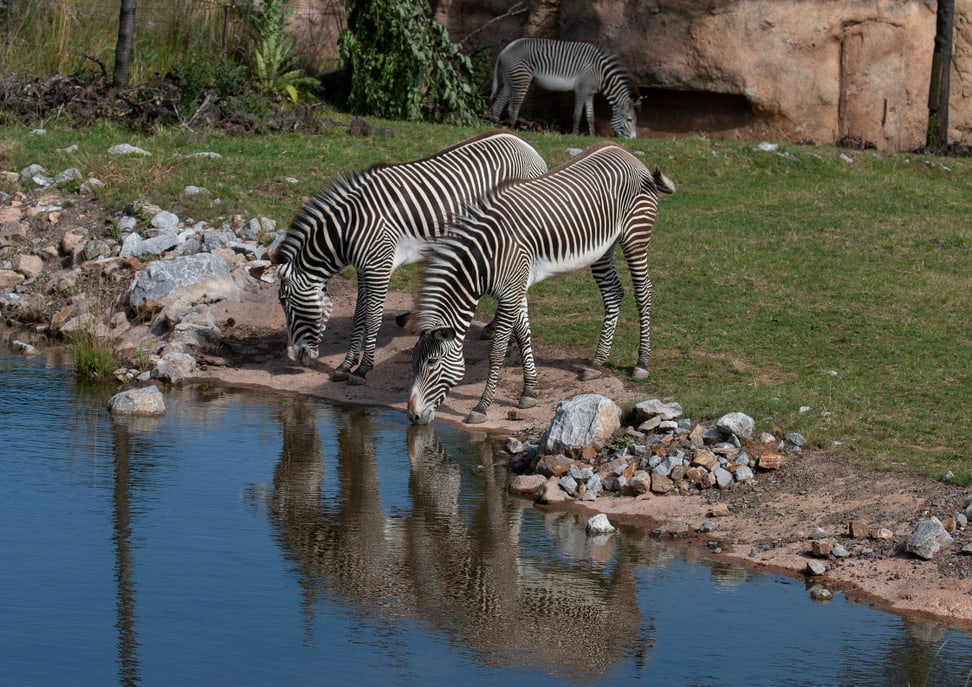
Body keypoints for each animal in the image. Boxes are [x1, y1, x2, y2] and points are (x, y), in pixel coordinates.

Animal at [262, 132, 548, 384]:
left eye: (285, 302)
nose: (294, 357)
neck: (349, 227)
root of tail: (527, 145)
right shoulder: (364, 269)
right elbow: (359, 316)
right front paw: (345, 365)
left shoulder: (379, 266)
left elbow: (373, 317)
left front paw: (363, 369)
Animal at [406, 141, 672, 424]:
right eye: (413, 361)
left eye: (432, 363)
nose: (413, 416)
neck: (485, 258)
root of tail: (624, 151)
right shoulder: (516, 288)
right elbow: (523, 335)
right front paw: (529, 392)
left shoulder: (510, 293)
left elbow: (497, 350)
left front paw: (481, 407)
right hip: (603, 249)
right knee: (613, 293)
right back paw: (596, 363)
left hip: (635, 236)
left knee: (643, 292)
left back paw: (641, 363)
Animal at [490, 38, 640, 140]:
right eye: (629, 120)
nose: (634, 139)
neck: (601, 74)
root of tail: (505, 49)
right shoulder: (581, 90)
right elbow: (578, 114)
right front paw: (575, 134)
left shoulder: (590, 93)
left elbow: (590, 116)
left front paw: (592, 135)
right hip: (522, 78)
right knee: (514, 104)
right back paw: (513, 126)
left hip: (510, 77)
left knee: (501, 98)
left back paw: (496, 122)